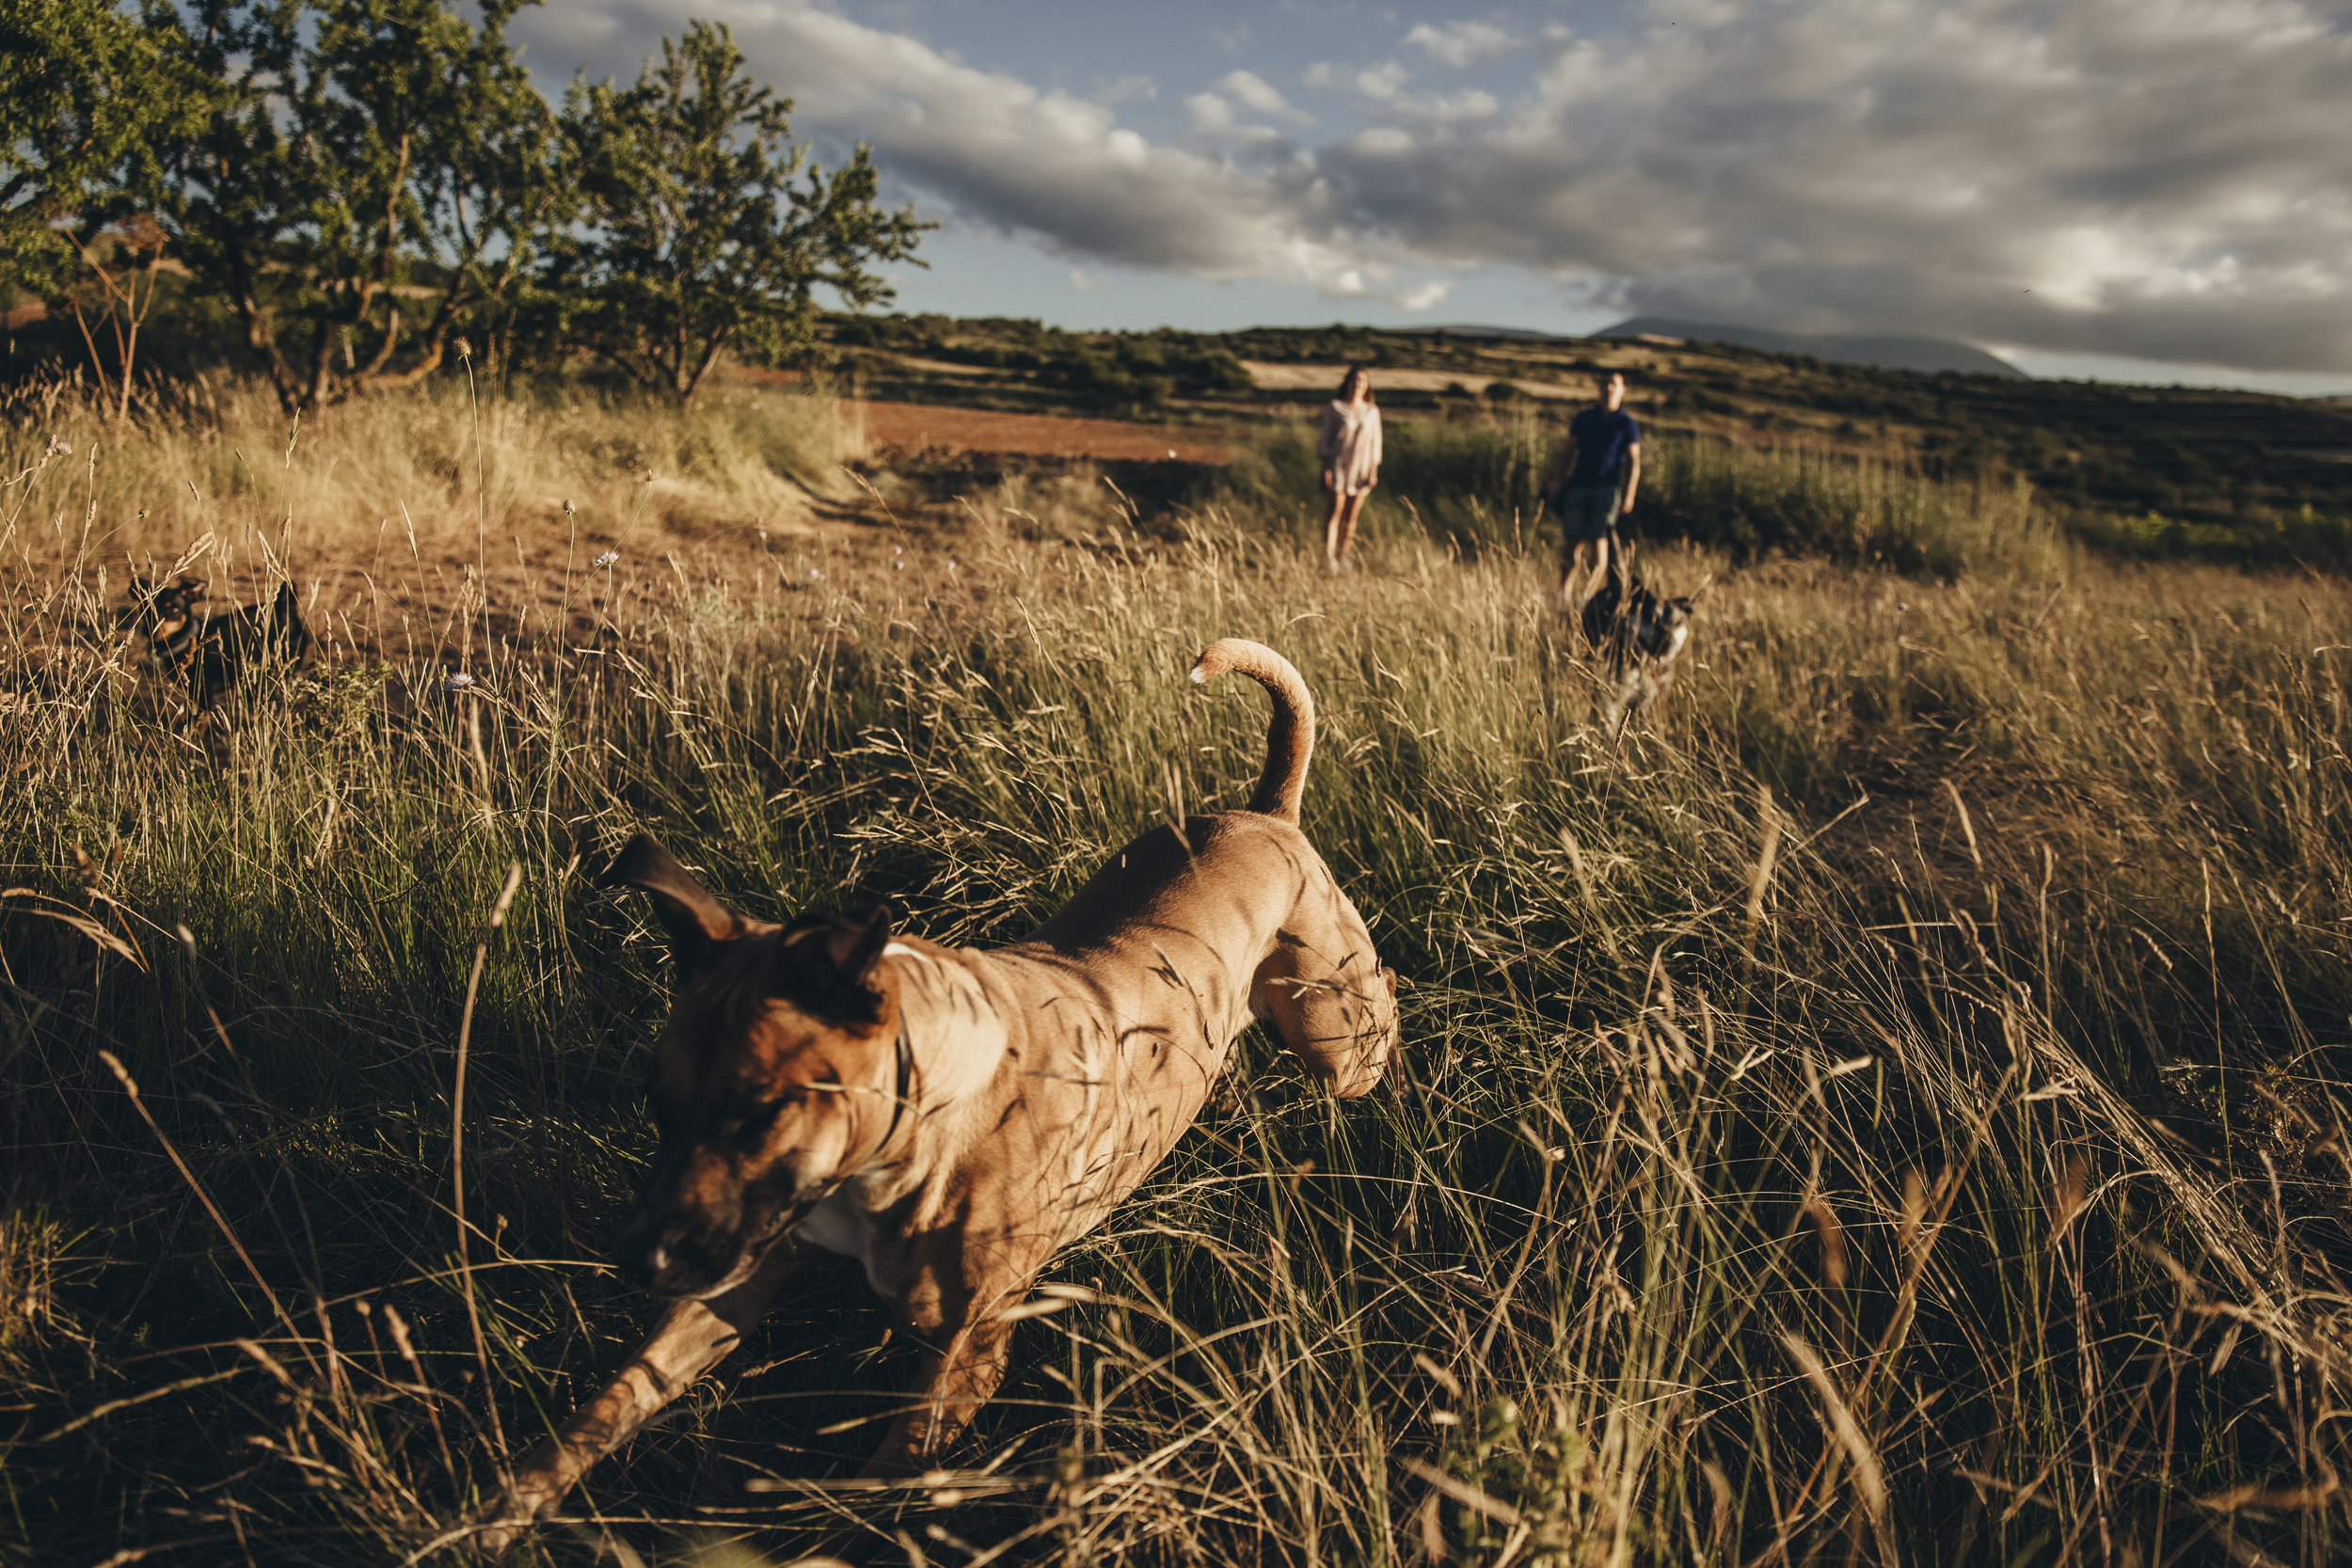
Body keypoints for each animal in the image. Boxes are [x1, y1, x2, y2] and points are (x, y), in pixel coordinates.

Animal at [477, 634, 1392, 1542]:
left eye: (759, 1115)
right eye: (657, 1104)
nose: (634, 1257)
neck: (920, 1118)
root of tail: (1265, 814)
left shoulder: (964, 1357)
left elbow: (865, 1501)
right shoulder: (739, 1273)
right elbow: (615, 1398)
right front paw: (500, 1510)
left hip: (1336, 1039)